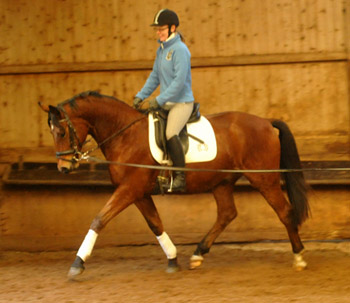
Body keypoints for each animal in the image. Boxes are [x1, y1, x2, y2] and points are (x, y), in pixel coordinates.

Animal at [39, 91, 308, 280]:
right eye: (52, 132)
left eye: (62, 132)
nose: (64, 168)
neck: (124, 135)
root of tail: (266, 122)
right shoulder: (138, 193)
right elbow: (155, 224)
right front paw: (172, 259)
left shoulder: (130, 188)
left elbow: (99, 219)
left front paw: (77, 264)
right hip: (221, 181)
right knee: (227, 213)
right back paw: (198, 254)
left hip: (264, 178)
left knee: (284, 212)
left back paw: (299, 257)